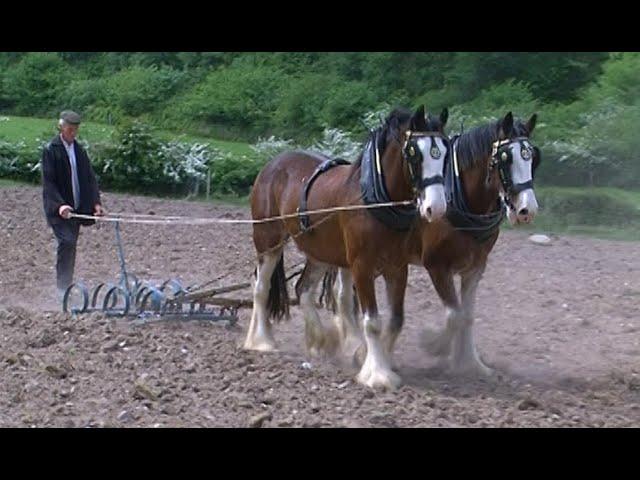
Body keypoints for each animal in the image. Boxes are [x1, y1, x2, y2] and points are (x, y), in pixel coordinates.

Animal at [245, 106, 450, 390]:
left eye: (445, 151)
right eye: (413, 153)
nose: (436, 207)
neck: (376, 200)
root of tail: (272, 164)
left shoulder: (397, 267)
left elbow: (396, 320)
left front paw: (370, 356)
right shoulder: (362, 266)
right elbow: (372, 321)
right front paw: (377, 374)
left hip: (320, 251)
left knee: (303, 289)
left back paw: (320, 340)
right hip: (268, 240)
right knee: (261, 288)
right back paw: (261, 341)